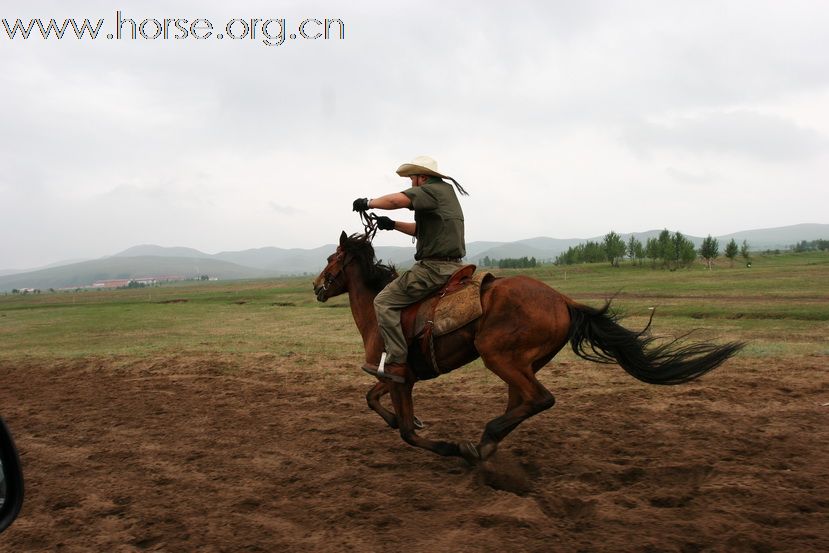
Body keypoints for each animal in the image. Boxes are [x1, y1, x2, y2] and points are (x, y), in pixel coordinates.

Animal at [314, 231, 740, 464]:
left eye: (332, 258)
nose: (317, 286)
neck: (377, 310)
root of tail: (563, 300)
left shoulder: (400, 376)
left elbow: (403, 429)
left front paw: (448, 445)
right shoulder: (400, 375)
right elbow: (373, 399)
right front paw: (411, 421)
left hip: (498, 356)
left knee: (539, 399)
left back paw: (483, 440)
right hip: (521, 363)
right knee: (522, 402)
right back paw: (490, 442)